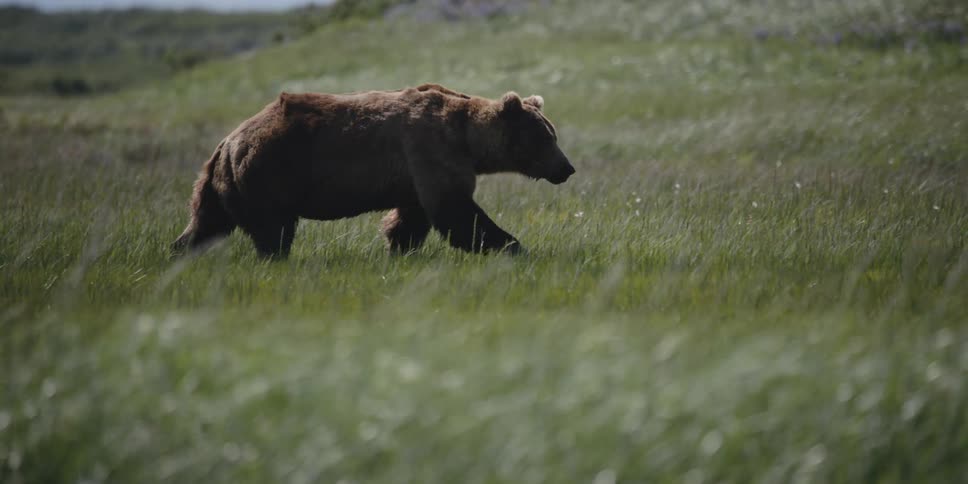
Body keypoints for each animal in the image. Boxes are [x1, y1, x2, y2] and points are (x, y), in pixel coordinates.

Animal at [171, 83, 575, 258]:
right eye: (547, 137)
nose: (567, 168)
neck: (469, 140)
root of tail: (229, 141)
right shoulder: (432, 150)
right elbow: (456, 211)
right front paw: (512, 246)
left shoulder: (416, 172)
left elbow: (413, 215)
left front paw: (399, 248)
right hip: (270, 168)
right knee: (274, 228)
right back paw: (276, 258)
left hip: (220, 182)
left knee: (207, 223)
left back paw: (180, 253)